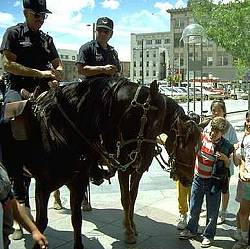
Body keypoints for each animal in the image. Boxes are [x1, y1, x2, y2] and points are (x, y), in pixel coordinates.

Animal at [0, 77, 199, 248]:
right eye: (182, 141)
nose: (188, 179)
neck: (60, 128)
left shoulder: (136, 171)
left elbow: (132, 197)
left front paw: (132, 226)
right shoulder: (123, 170)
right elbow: (126, 199)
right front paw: (128, 231)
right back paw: (19, 227)